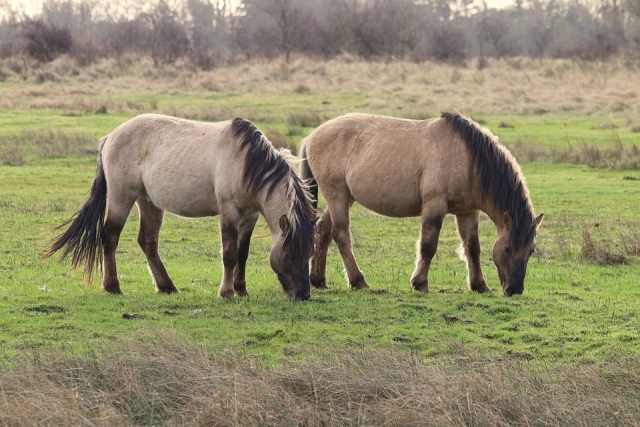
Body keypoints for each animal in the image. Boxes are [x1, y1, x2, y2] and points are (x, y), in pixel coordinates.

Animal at [45, 114, 315, 301]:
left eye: (310, 254)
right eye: (289, 255)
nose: (302, 295)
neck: (246, 163)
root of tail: (110, 136)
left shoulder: (250, 216)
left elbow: (242, 253)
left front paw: (241, 290)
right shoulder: (229, 212)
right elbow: (229, 254)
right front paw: (227, 293)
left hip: (148, 201)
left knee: (147, 242)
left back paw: (167, 286)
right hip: (122, 197)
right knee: (110, 237)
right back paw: (113, 287)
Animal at [300, 111, 543, 296]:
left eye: (531, 250)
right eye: (507, 248)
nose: (514, 289)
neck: (468, 158)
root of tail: (312, 136)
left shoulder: (467, 212)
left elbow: (473, 248)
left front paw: (479, 286)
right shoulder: (435, 207)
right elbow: (428, 246)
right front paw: (420, 283)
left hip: (345, 199)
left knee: (323, 231)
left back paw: (318, 280)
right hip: (337, 197)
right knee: (341, 235)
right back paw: (358, 280)